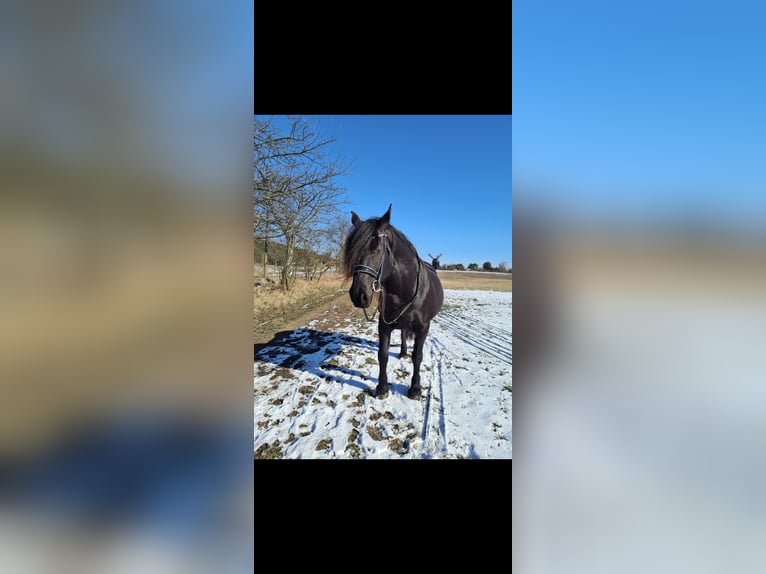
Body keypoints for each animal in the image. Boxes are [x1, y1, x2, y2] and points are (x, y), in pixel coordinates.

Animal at [343, 204, 444, 400]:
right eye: (353, 250)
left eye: (377, 248)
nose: (358, 295)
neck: (405, 289)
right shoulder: (384, 326)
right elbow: (382, 355)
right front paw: (382, 387)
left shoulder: (423, 328)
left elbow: (417, 357)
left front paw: (415, 389)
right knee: (404, 333)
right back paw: (403, 351)